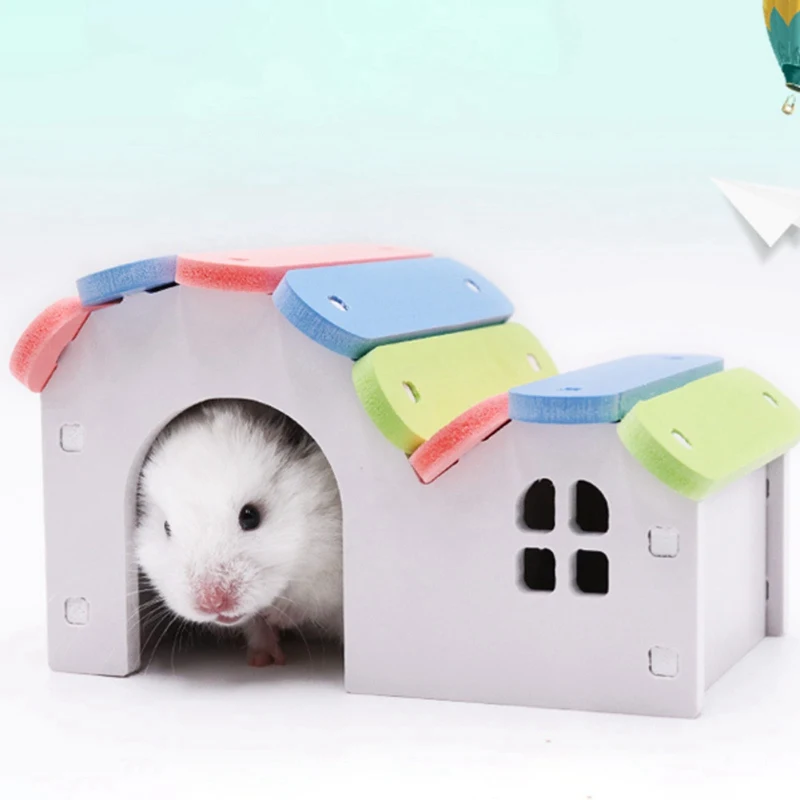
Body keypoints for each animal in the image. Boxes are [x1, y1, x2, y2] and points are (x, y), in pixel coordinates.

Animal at [135, 399, 343, 667]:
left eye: (250, 516)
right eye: (166, 528)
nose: (212, 604)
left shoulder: (331, 571)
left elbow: (313, 600)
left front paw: (275, 618)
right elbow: (254, 624)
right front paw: (263, 659)